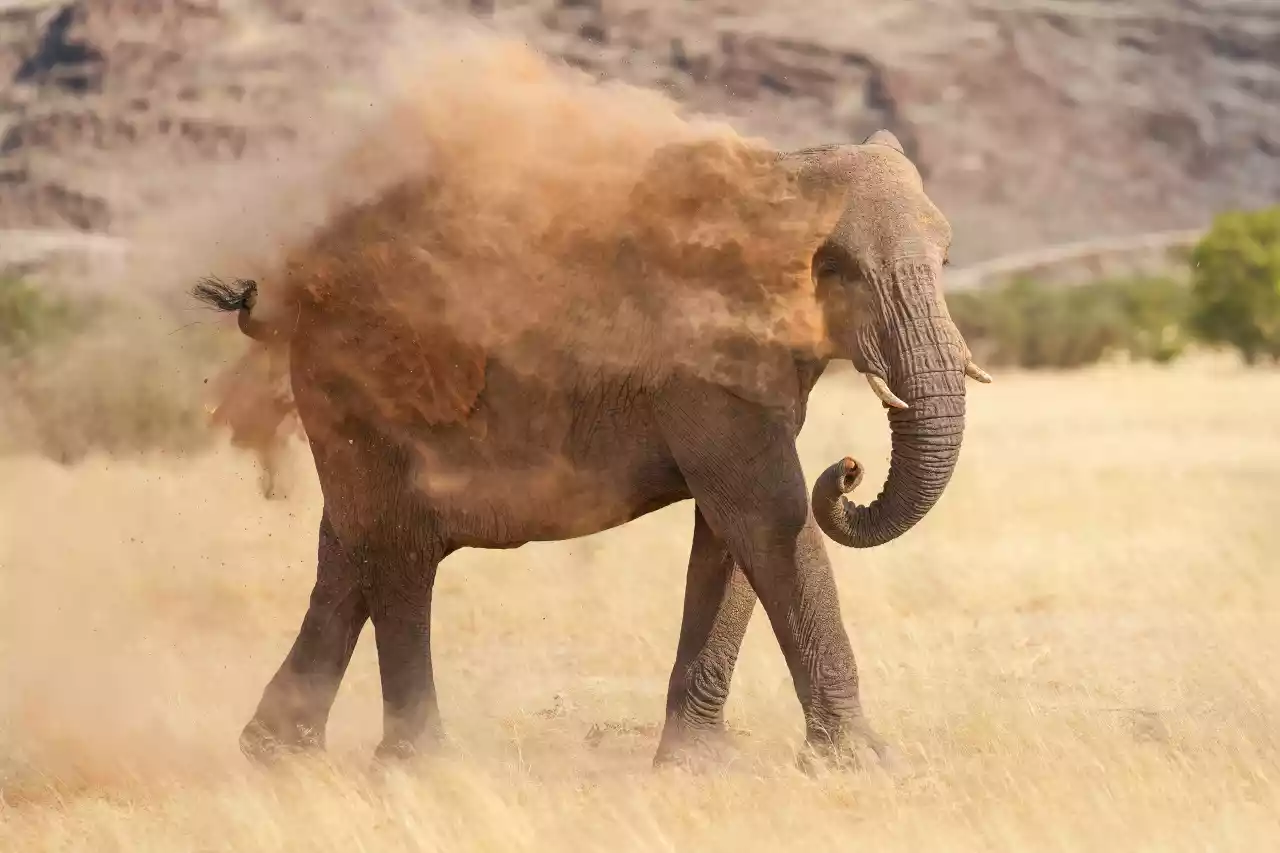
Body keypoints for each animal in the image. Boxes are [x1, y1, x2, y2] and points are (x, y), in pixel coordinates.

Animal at [192, 128, 990, 772]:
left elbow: (735, 532)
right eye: (836, 268)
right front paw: (865, 765)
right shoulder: (703, 362)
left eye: (949, 259)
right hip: (360, 383)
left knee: (350, 544)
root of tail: (288, 294)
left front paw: (695, 768)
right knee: (399, 550)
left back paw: (278, 754)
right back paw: (417, 765)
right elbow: (767, 514)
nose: (849, 468)